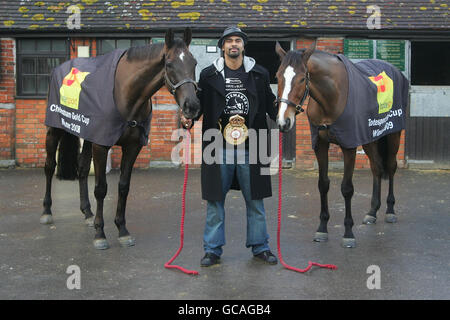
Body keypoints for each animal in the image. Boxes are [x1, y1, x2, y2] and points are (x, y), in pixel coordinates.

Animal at [41, 28, 201, 250]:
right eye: (169, 64)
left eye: (194, 63)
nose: (191, 106)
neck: (126, 94)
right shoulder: (101, 145)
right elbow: (101, 189)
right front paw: (100, 233)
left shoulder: (132, 147)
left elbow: (123, 187)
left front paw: (122, 230)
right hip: (54, 130)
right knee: (49, 166)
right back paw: (47, 211)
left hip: (88, 135)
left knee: (82, 169)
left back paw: (87, 213)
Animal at [274, 42, 408, 248]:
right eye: (277, 76)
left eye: (302, 78)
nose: (283, 122)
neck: (332, 95)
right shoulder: (320, 145)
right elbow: (323, 184)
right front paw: (322, 229)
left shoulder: (349, 145)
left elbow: (347, 188)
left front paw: (348, 232)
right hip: (370, 138)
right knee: (377, 168)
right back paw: (372, 212)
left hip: (393, 134)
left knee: (391, 167)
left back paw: (390, 210)